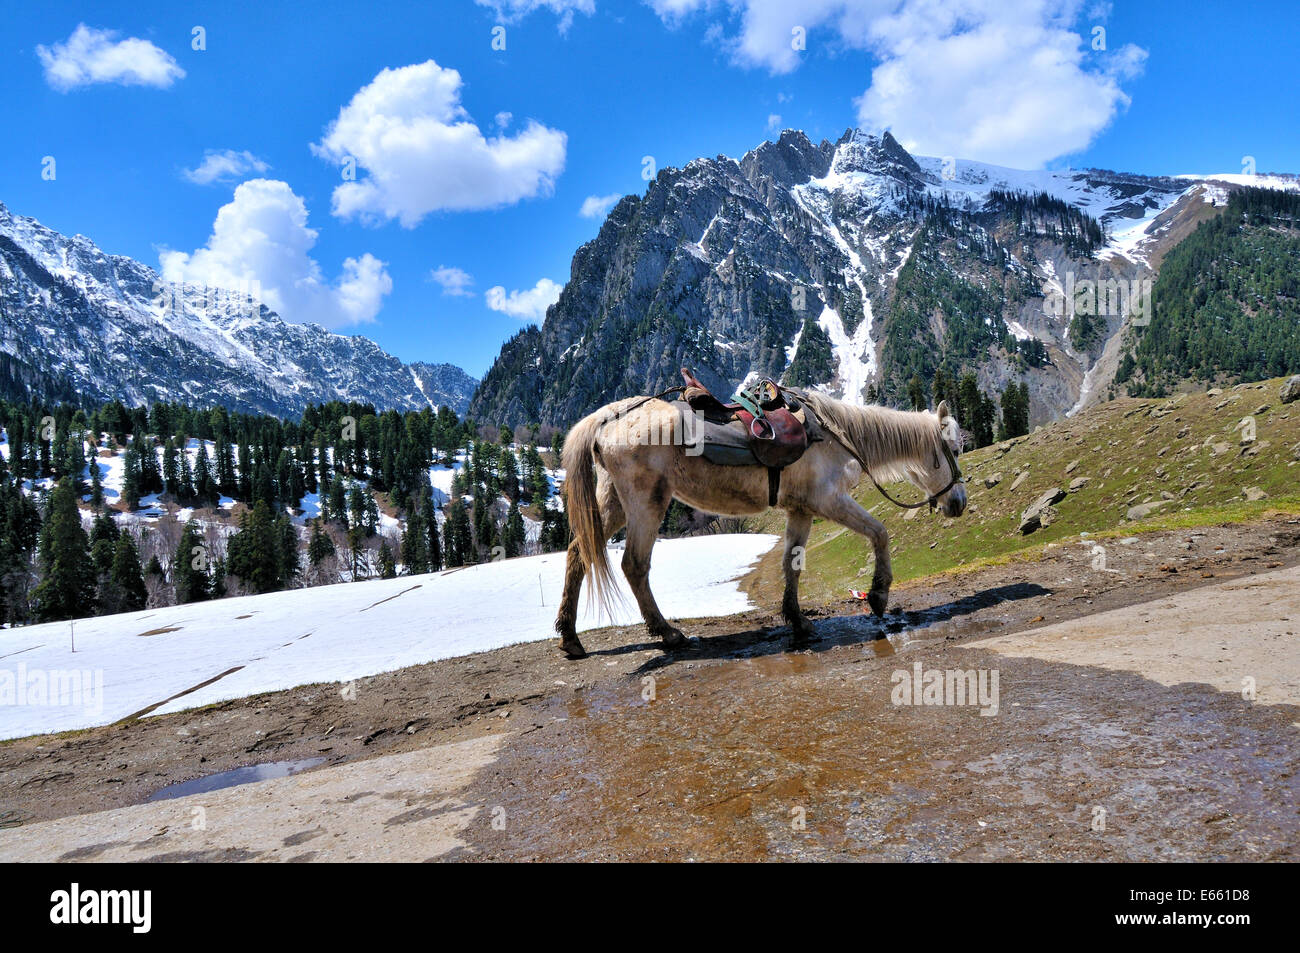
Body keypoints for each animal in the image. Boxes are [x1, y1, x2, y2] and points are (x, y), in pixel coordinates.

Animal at [548, 390, 967, 657]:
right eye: (954, 448)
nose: (959, 503)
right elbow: (879, 532)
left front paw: (798, 621)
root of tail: (608, 417)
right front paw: (878, 596)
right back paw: (668, 634)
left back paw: (570, 639)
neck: (835, 434)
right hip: (646, 503)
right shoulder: (830, 502)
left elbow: (791, 564)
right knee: (634, 565)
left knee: (578, 554)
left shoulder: (801, 510)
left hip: (613, 502)